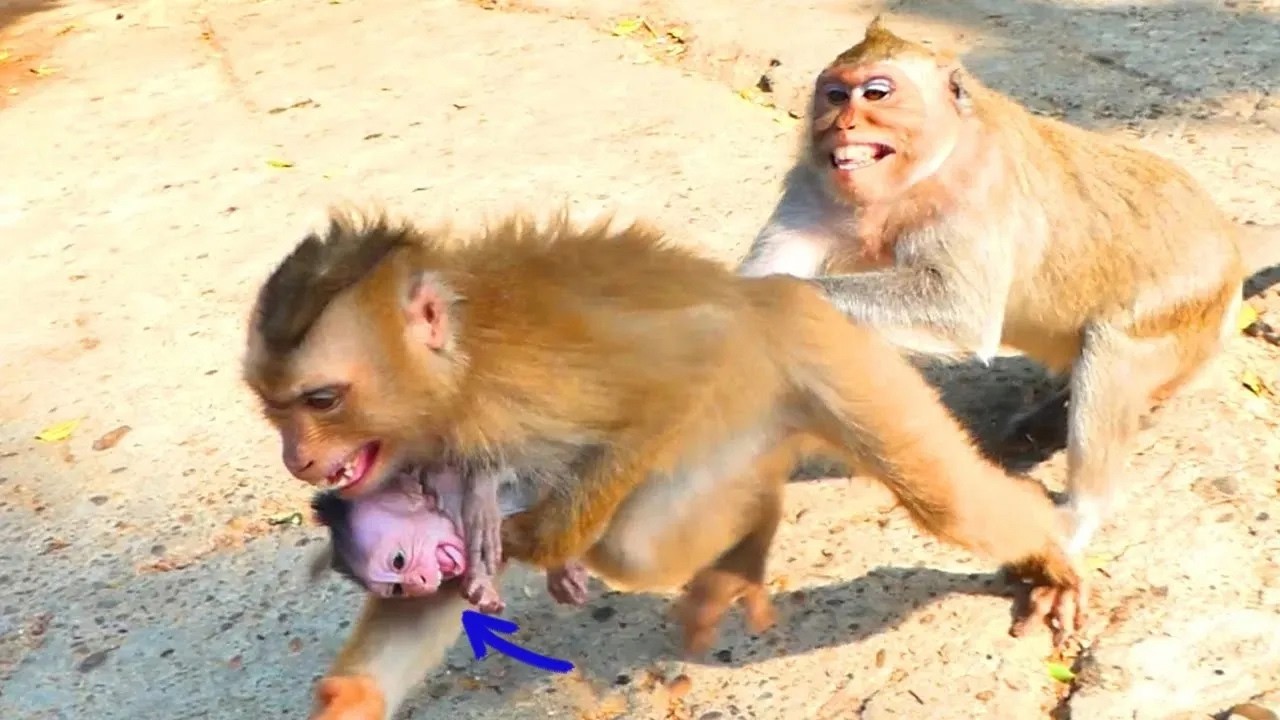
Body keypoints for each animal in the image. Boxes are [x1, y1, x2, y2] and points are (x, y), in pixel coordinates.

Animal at [241, 209, 1084, 720]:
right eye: (272, 406)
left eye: (321, 399)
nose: (296, 457)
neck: (452, 376)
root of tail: (772, 292)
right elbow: (432, 595)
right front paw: (347, 699)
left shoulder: (520, 377)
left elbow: (678, 368)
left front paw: (533, 543)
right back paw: (752, 531)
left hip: (822, 353)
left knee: (946, 502)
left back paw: (1045, 547)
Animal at [738, 16, 1280, 559]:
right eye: (833, 95)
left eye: (875, 93)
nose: (841, 124)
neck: (912, 182)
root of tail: (1225, 234)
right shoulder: (811, 184)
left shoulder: (978, 187)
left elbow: (961, 312)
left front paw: (773, 301)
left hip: (1184, 305)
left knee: (1113, 347)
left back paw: (1078, 513)